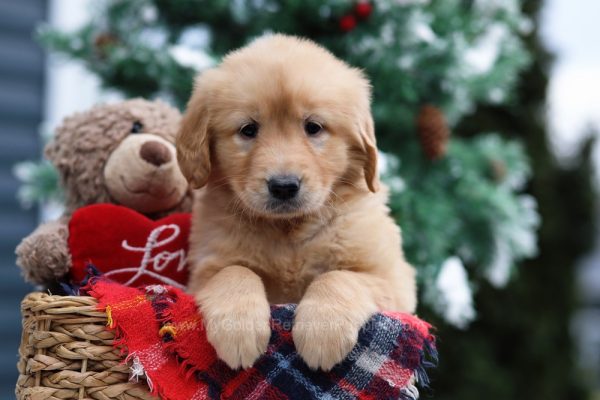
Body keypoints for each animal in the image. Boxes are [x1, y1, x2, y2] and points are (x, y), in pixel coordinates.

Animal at [176, 34, 414, 372]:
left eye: (313, 127)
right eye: (248, 129)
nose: (284, 186)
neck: (288, 231)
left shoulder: (392, 280)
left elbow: (339, 277)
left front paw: (323, 332)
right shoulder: (204, 271)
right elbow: (235, 272)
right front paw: (238, 329)